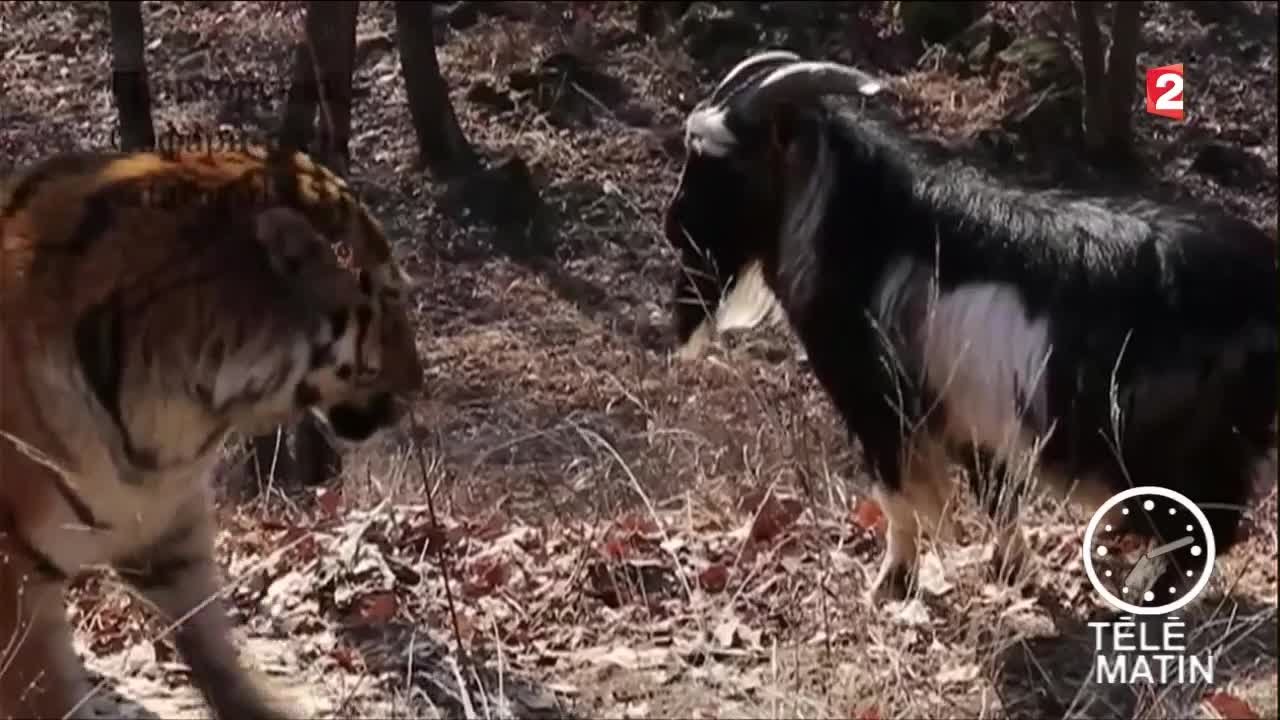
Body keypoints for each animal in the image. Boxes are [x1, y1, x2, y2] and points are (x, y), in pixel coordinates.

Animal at [0, 146, 424, 719]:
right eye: (390, 299)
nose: (419, 384)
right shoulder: (16, 580)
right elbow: (47, 694)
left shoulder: (167, 523)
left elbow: (213, 644)